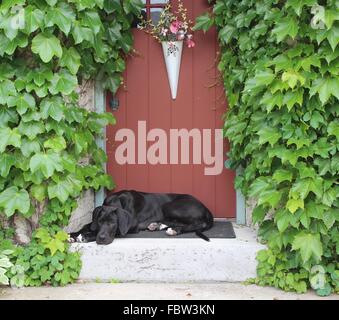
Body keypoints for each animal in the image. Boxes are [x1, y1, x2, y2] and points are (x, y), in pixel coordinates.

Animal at [70, 190, 214, 245]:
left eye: (113, 223)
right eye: (100, 222)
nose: (101, 238)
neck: (116, 201)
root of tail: (206, 207)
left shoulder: (129, 228)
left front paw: (85, 236)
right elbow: (88, 225)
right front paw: (72, 234)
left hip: (169, 206)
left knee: (199, 223)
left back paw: (174, 230)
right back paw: (157, 225)